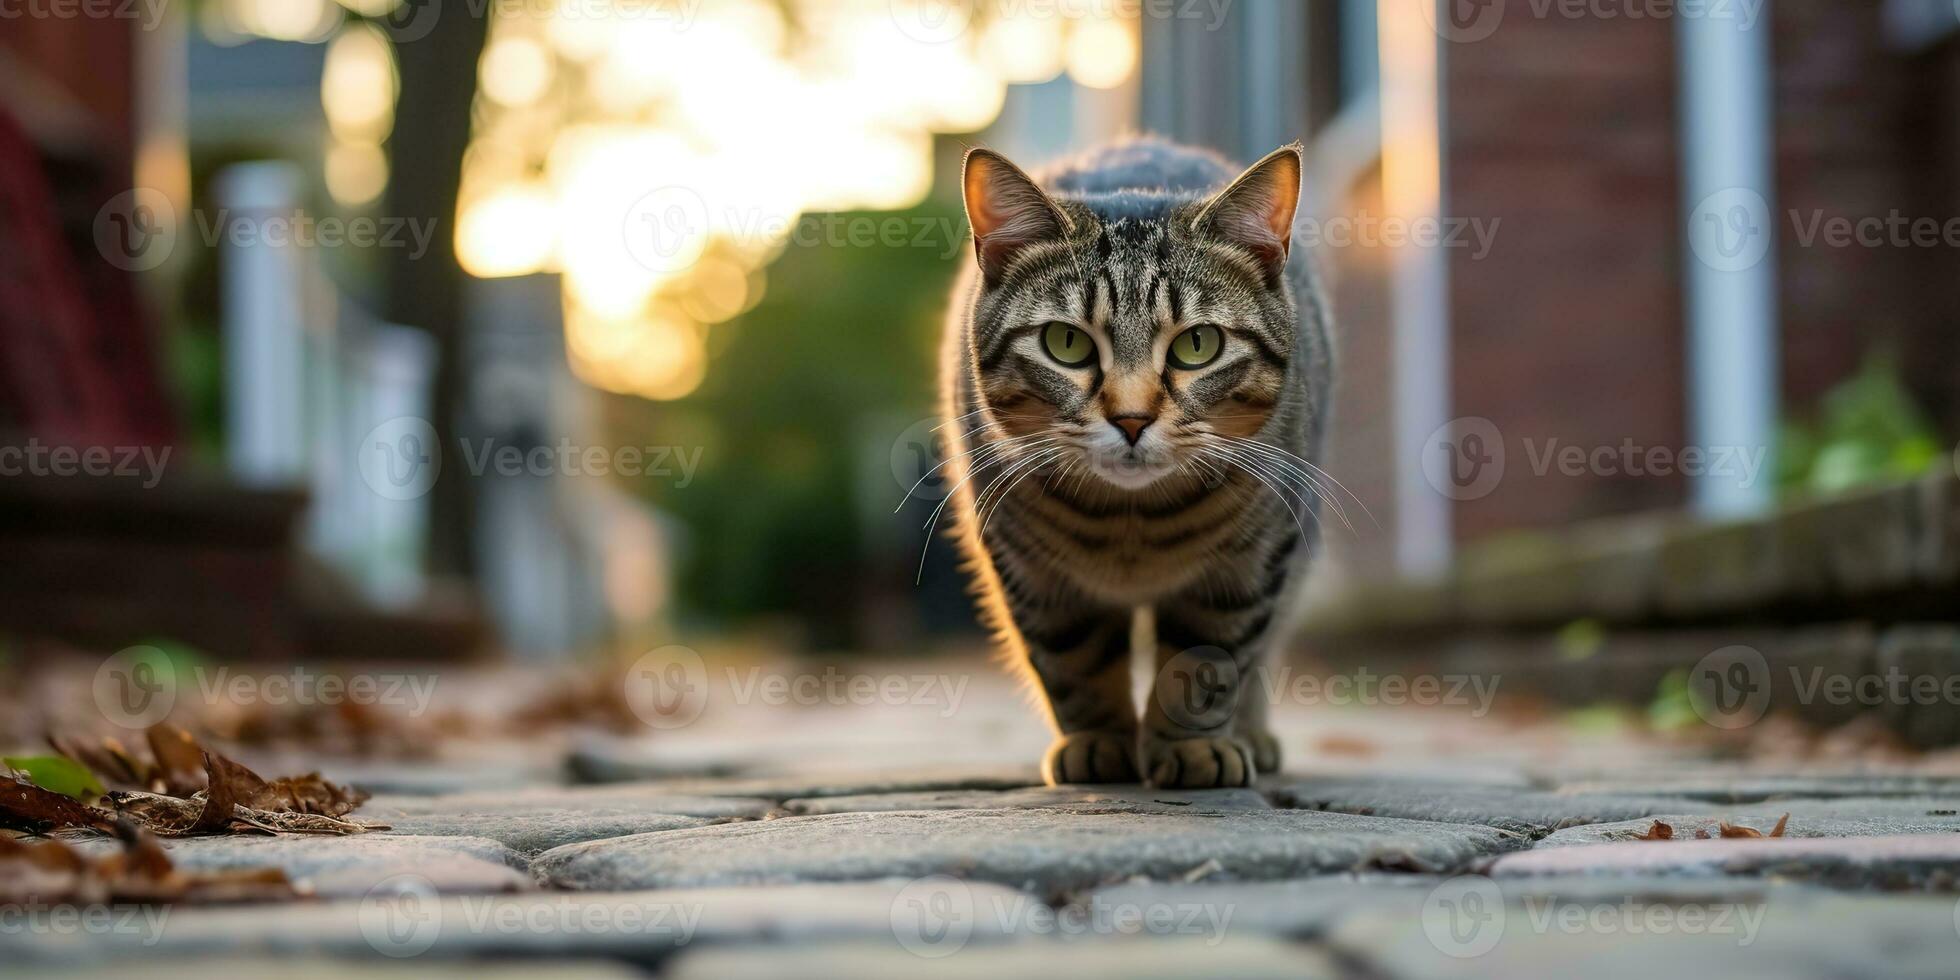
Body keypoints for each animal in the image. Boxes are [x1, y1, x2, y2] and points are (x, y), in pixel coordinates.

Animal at [932, 136, 1332, 787]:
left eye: (1199, 345)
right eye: (1065, 342)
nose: (1132, 418)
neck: (1132, 525)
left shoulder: (1250, 563)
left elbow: (1207, 658)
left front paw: (1193, 747)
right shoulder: (1032, 574)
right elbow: (1075, 660)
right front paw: (1098, 742)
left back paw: (1251, 735)